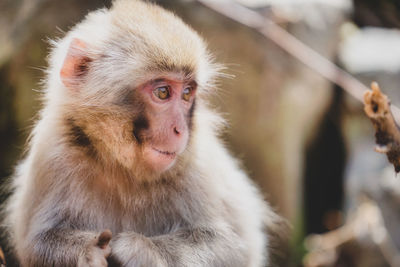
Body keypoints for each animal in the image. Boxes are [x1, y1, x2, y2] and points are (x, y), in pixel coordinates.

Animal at [3, 0, 284, 267]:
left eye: (186, 93)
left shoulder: (197, 165)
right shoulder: (53, 151)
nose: (180, 130)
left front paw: (139, 249)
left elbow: (232, 248)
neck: (123, 167)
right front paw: (89, 251)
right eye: (162, 92)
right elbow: (37, 244)